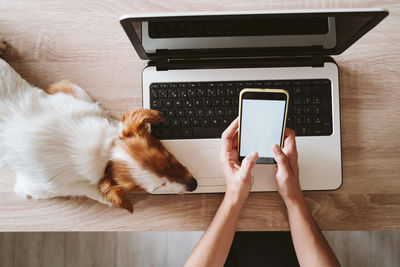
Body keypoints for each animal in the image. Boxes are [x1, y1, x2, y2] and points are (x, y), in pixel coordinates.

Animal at [0, 38, 197, 214]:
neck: (103, 153)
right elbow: (87, 189)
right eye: (157, 187)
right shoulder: (36, 187)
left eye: (169, 159)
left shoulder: (68, 91)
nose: (194, 185)